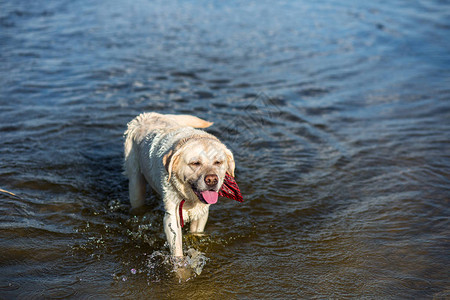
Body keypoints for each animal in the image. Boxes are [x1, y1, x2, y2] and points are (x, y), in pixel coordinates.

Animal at [123, 112, 241, 258]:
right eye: (195, 163)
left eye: (218, 162)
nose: (212, 180)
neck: (190, 198)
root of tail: (147, 115)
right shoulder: (172, 218)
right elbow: (177, 250)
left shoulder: (202, 213)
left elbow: (196, 234)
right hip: (135, 182)